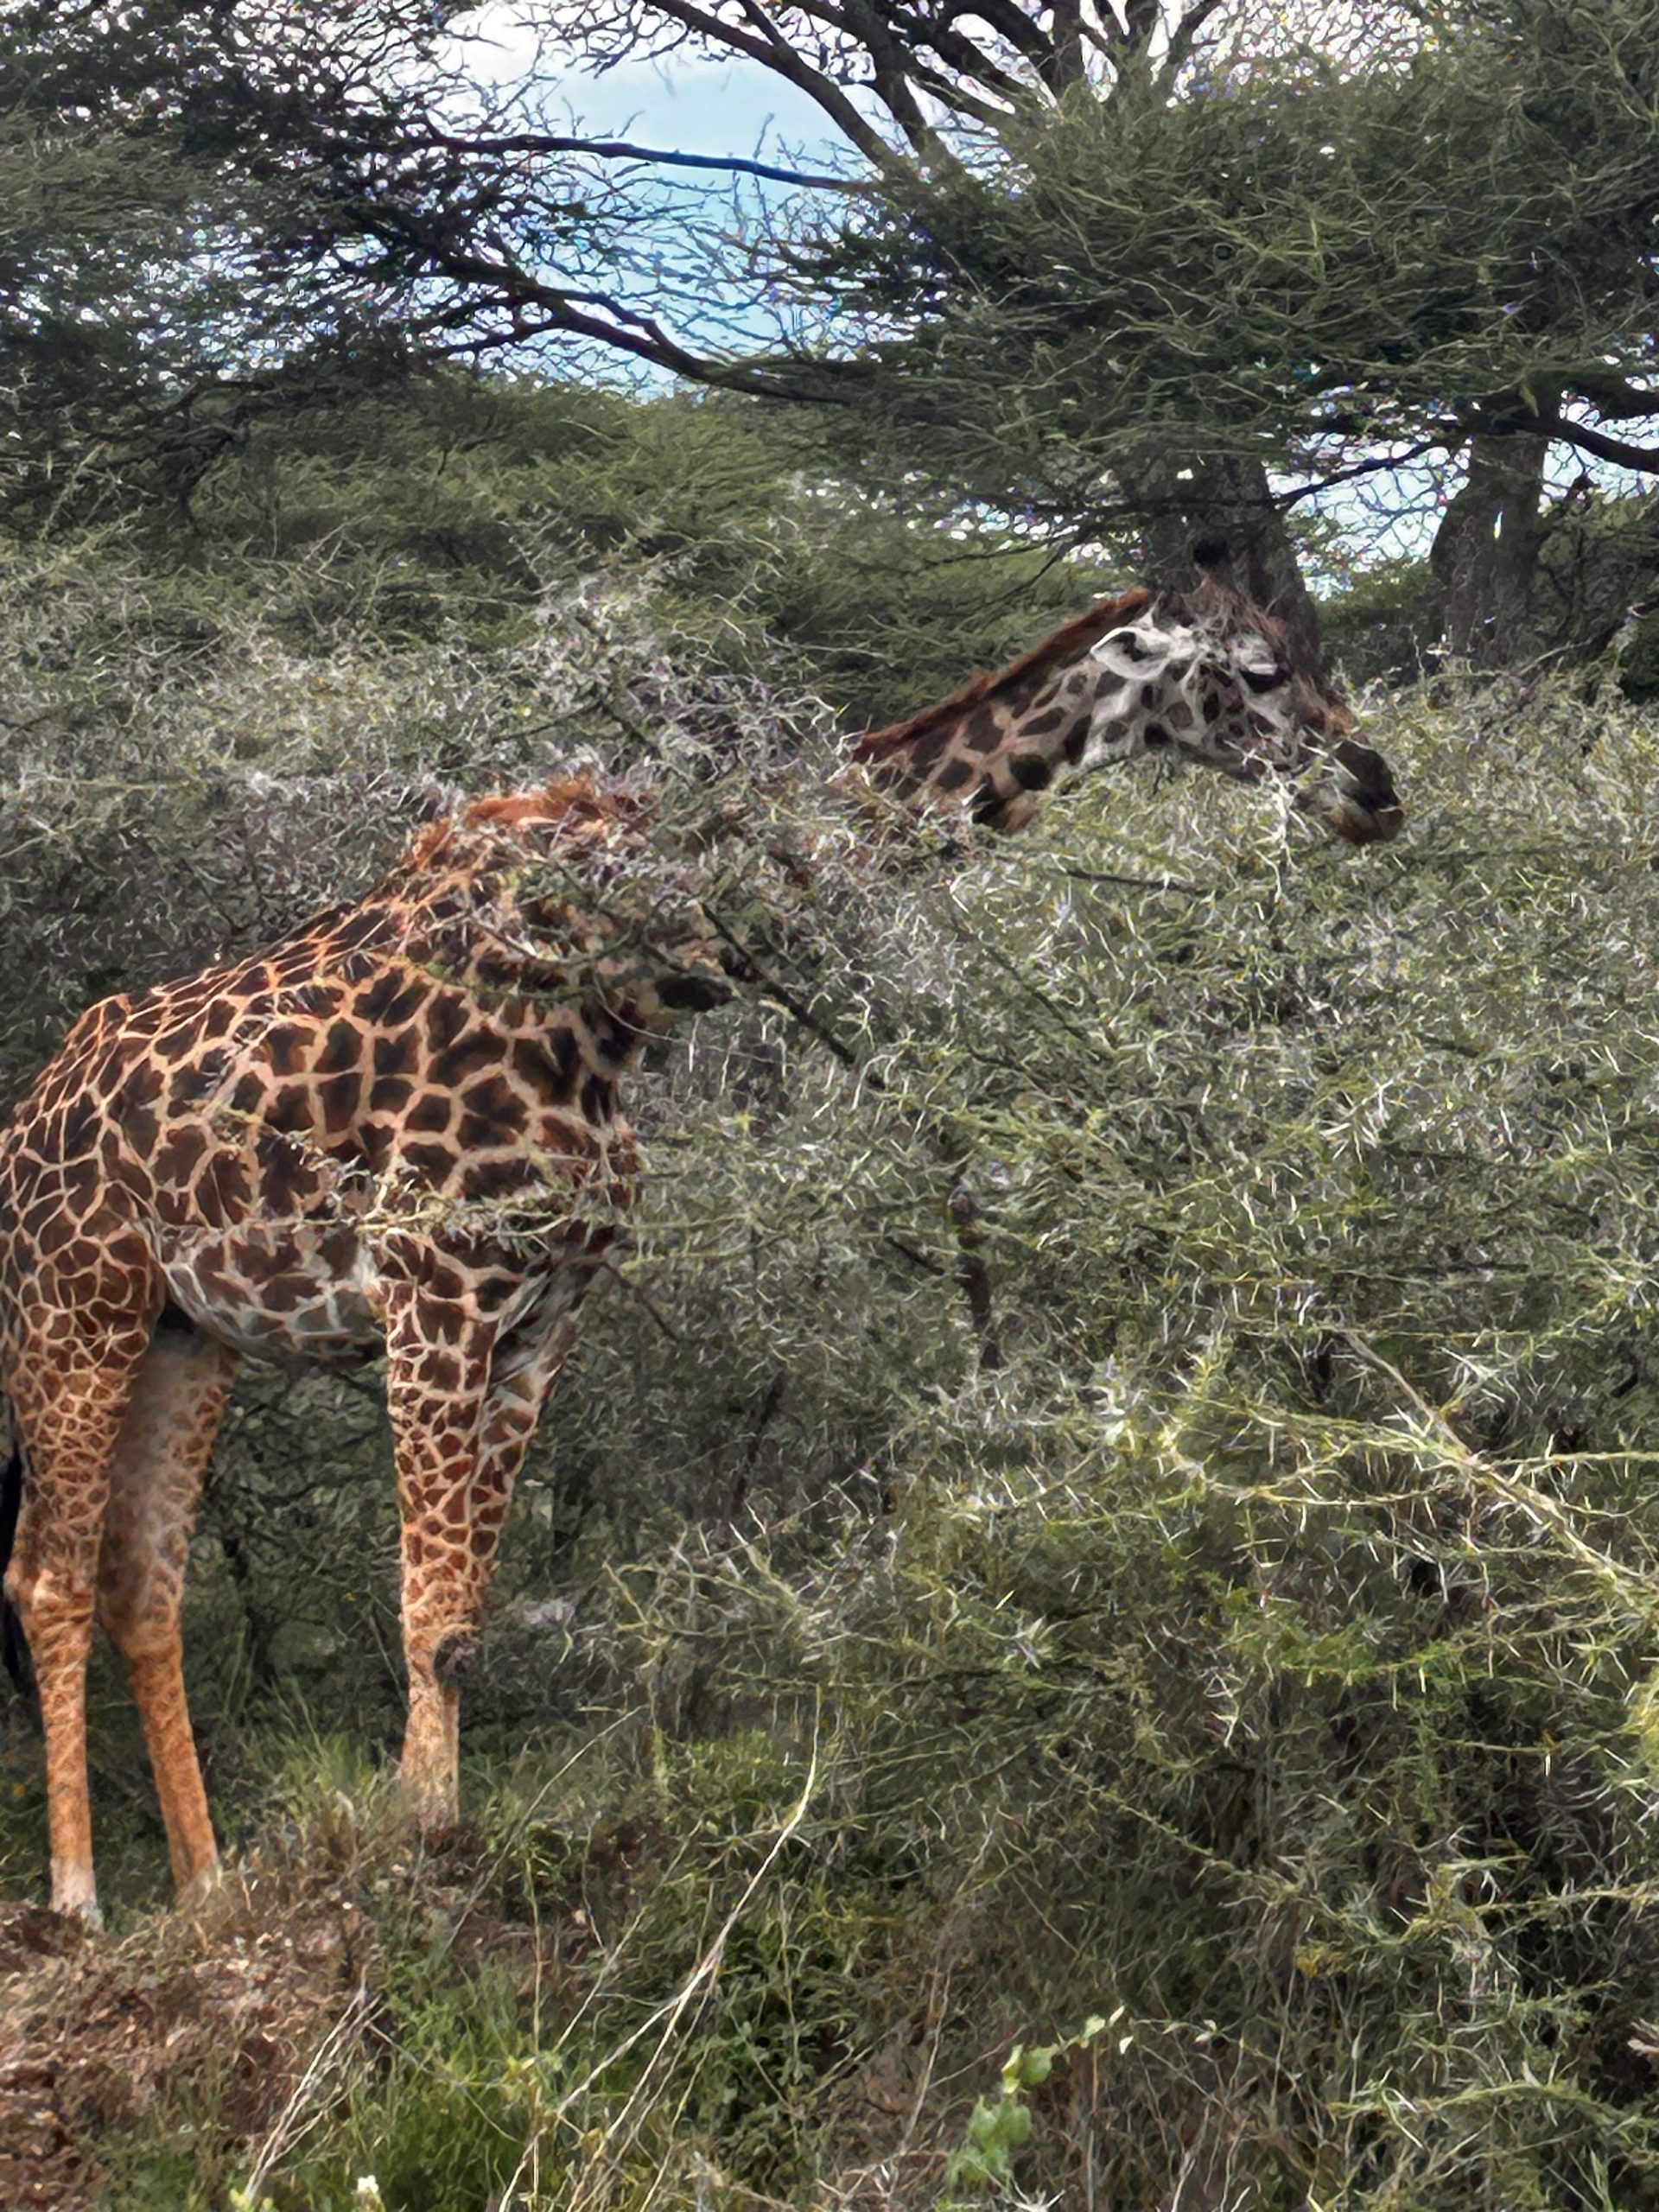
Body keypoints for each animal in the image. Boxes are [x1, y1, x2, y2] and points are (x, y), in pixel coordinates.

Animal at [0, 568, 1401, 1922]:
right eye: (1259, 671)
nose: (1376, 790)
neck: (611, 986)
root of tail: (25, 1120)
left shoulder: (547, 1309)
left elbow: (465, 1618)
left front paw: (440, 1835)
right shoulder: (435, 1288)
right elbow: (425, 1604)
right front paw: (419, 1843)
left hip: (191, 1333)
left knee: (142, 1585)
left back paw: (207, 1888)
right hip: (72, 1307)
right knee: (49, 1579)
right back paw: (78, 1902)